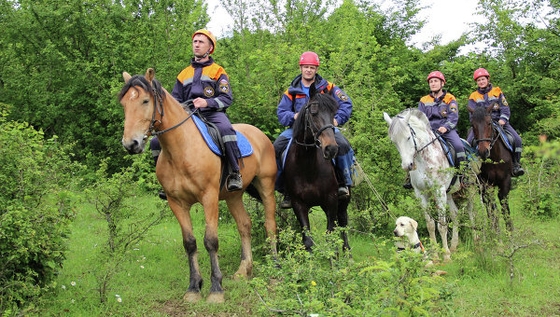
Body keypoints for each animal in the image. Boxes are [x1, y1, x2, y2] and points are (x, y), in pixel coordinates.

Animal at [119, 68, 276, 302]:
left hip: (266, 186)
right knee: (244, 225)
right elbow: (190, 243)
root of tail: (259, 135)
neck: (181, 149)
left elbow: (210, 241)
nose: (131, 144)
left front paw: (216, 289)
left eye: (145, 101)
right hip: (233, 196)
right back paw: (243, 270)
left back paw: (275, 266)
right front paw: (194, 288)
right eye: (123, 104)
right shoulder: (176, 203)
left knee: (270, 225)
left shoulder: (209, 198)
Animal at [284, 92, 350, 251]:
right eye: (313, 112)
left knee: (343, 224)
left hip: (342, 202)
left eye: (333, 113)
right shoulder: (299, 204)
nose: (331, 148)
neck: (308, 167)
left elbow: (331, 238)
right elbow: (308, 241)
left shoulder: (331, 200)